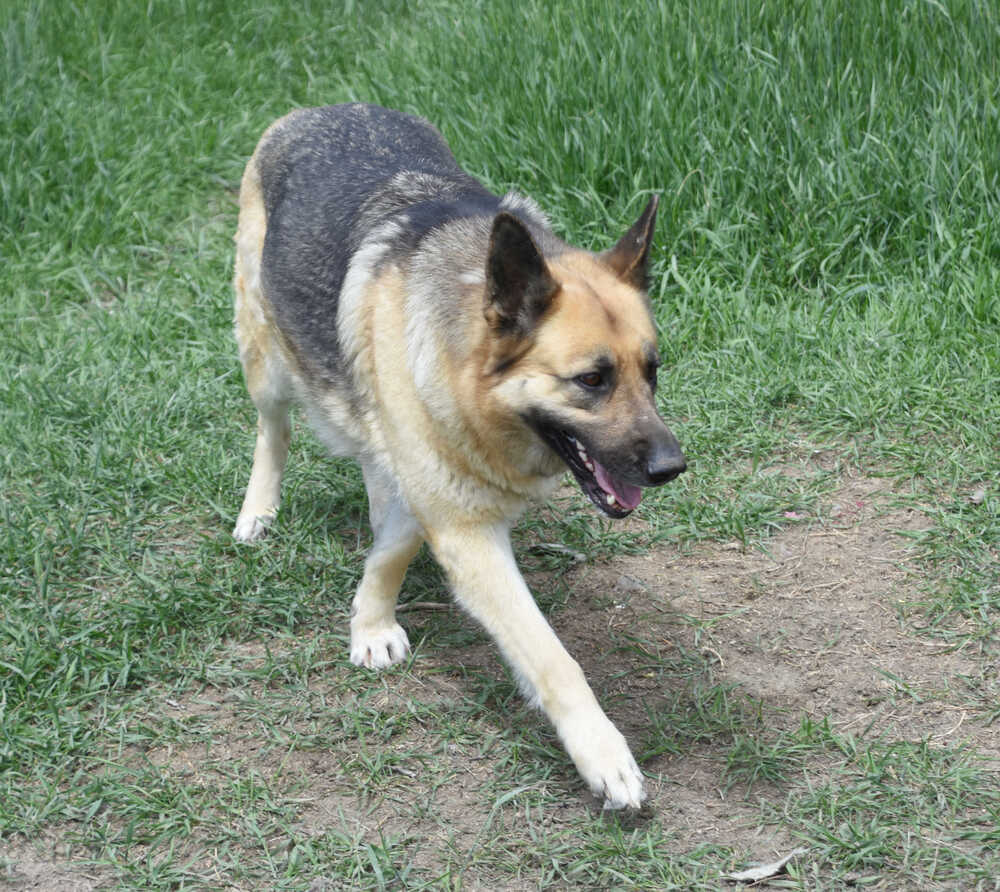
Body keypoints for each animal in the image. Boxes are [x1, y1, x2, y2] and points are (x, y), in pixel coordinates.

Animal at [234, 103, 688, 808]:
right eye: (591, 380)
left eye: (653, 372)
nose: (672, 468)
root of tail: (318, 109)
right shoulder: (464, 528)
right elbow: (551, 657)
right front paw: (603, 754)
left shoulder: (433, 489)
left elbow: (394, 545)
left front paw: (370, 617)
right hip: (266, 358)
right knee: (272, 431)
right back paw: (258, 510)